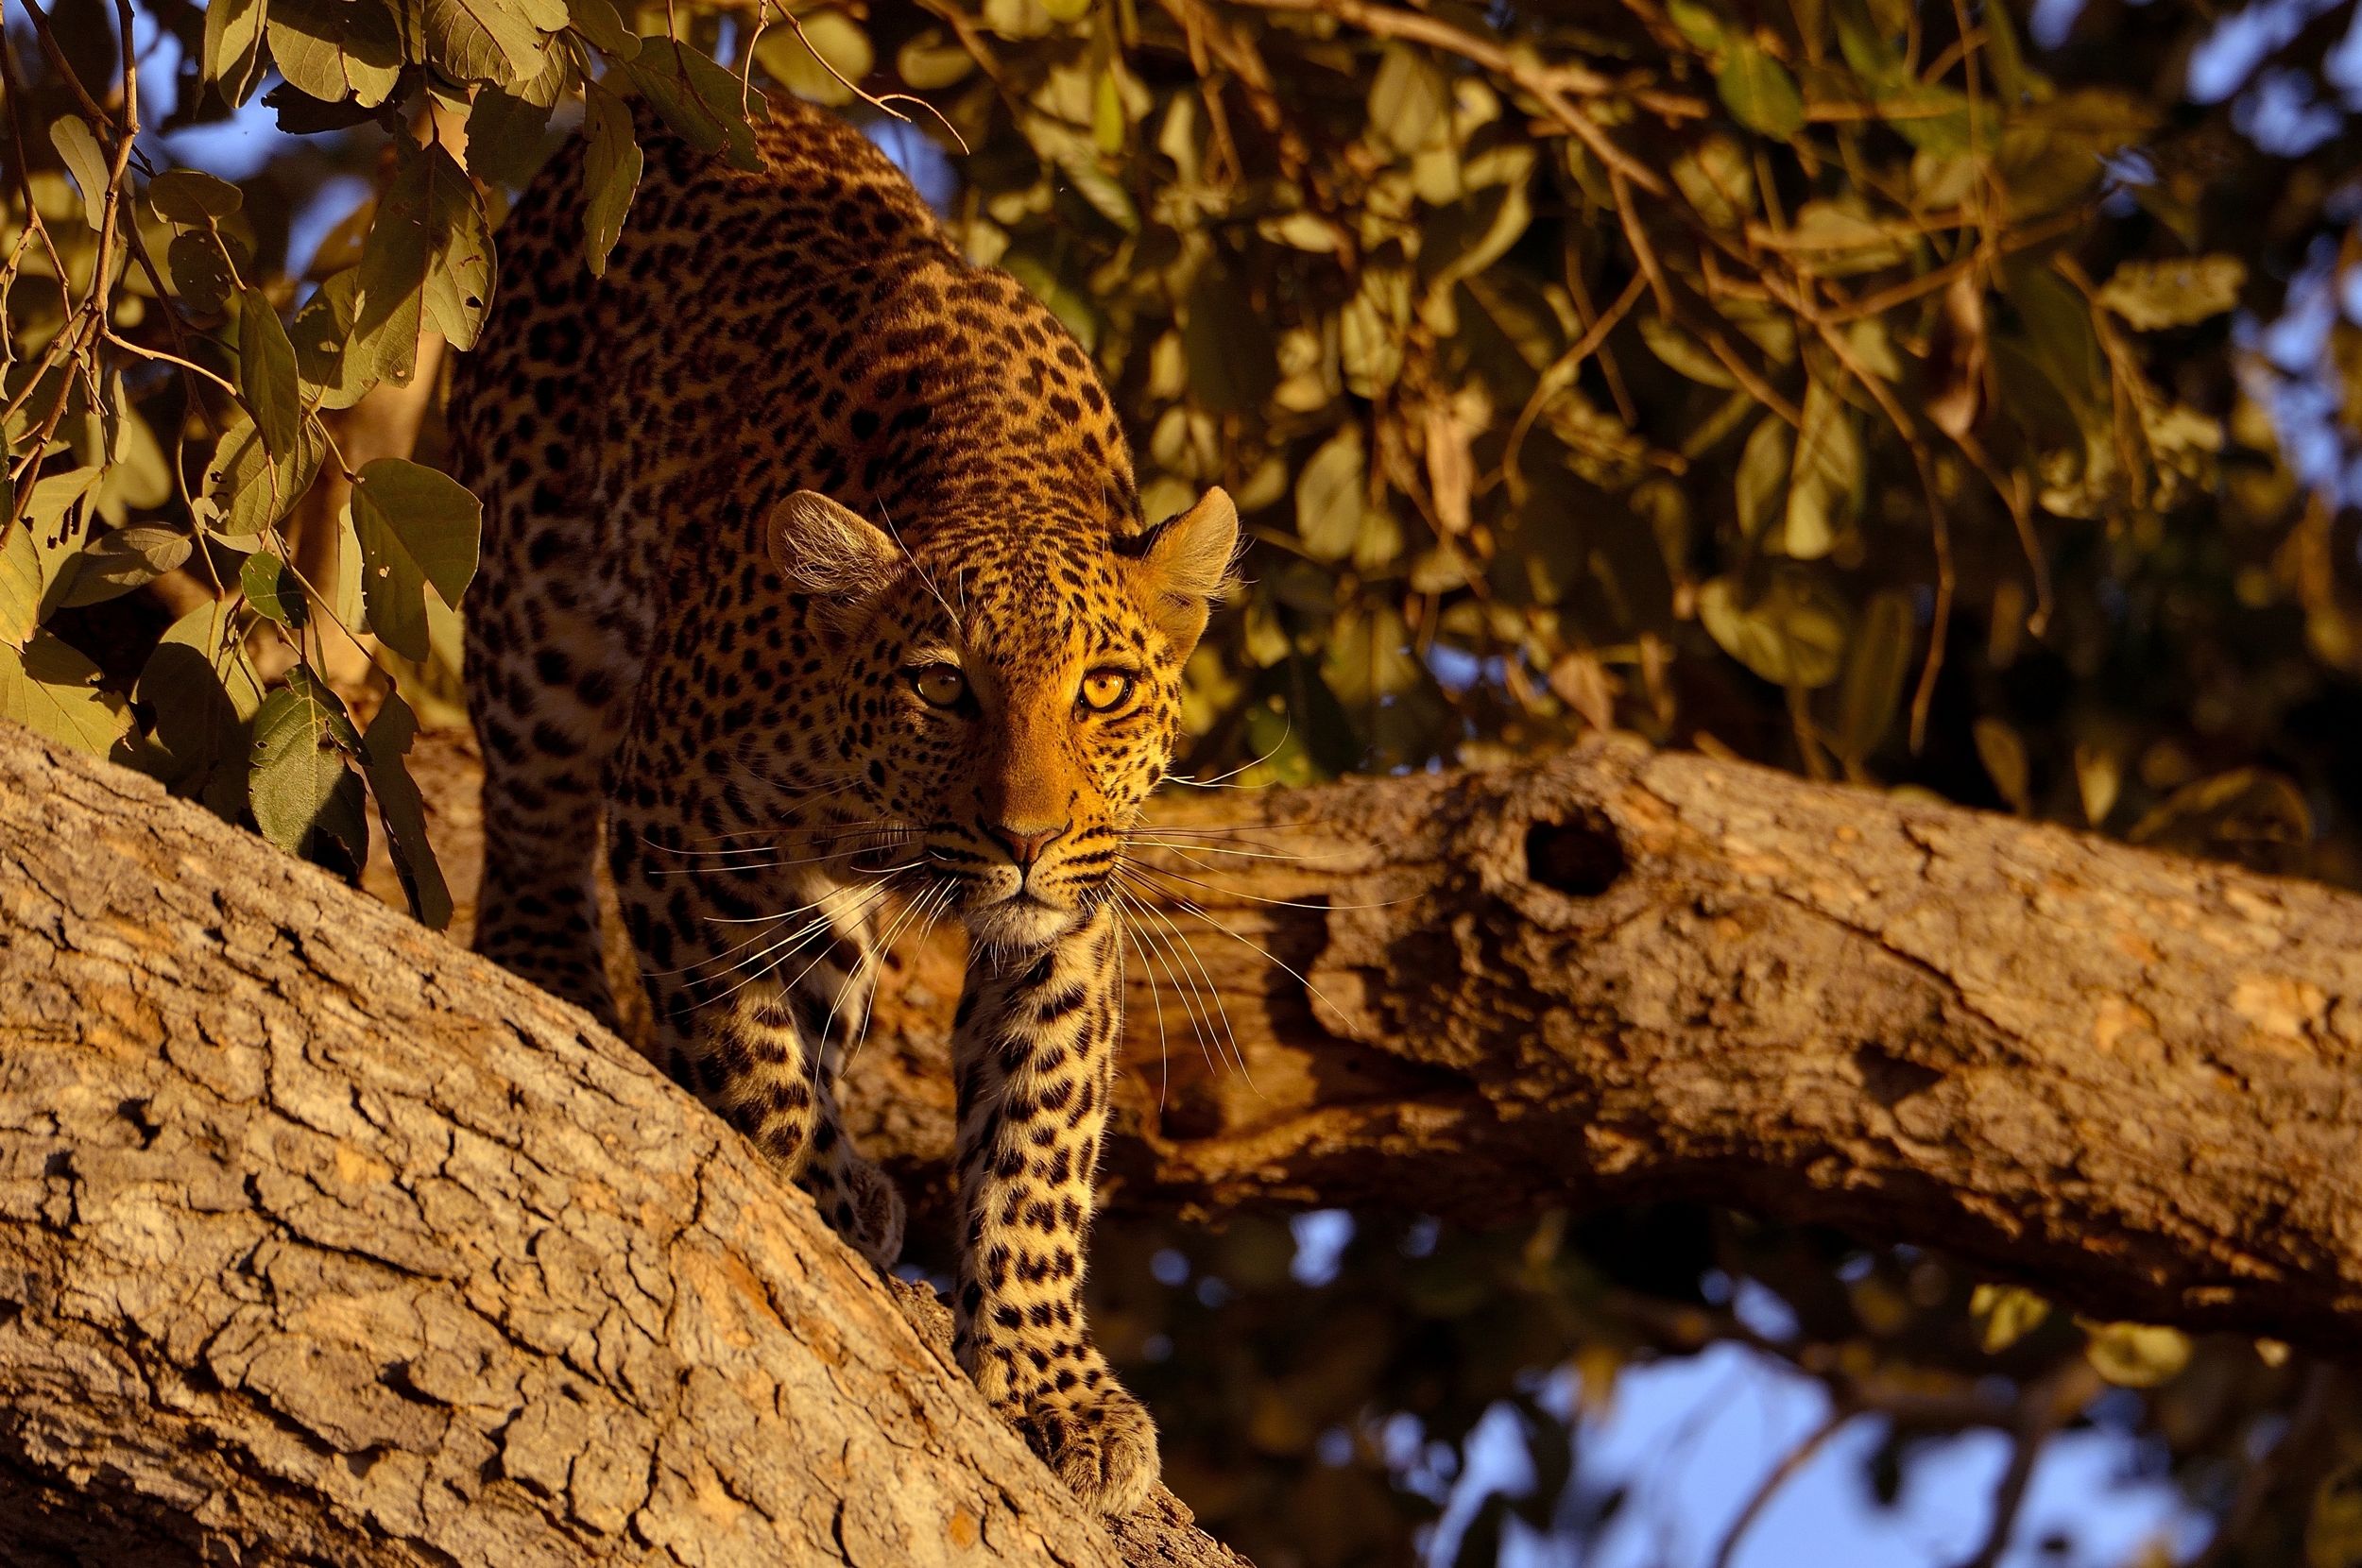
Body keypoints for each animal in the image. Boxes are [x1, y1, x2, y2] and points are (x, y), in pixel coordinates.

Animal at [445, 90, 1236, 1517]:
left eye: (1101, 688)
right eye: (942, 685)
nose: (1025, 836)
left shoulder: (1078, 911)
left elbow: (1038, 1131)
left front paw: (1051, 1382)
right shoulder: (680, 814)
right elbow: (750, 1036)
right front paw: (805, 1182)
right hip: (537, 608)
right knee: (531, 815)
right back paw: (556, 979)